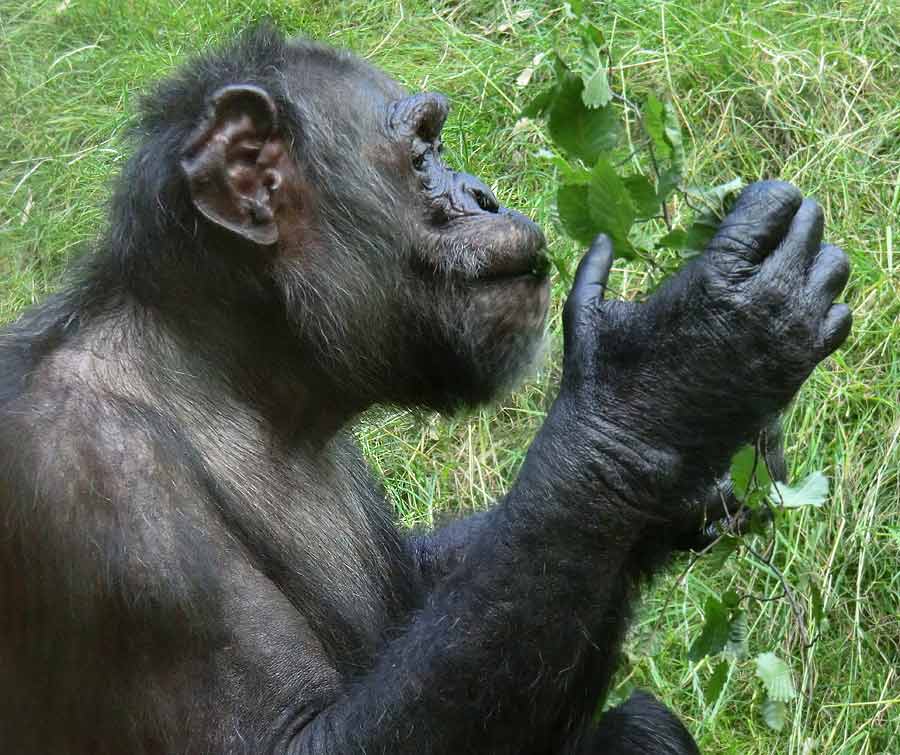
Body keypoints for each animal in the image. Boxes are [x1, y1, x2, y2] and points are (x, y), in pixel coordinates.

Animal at [0, 26, 852, 752]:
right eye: (421, 152)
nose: (482, 192)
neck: (240, 378)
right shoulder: (96, 483)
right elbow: (290, 734)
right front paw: (681, 363)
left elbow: (431, 584)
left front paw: (706, 474)